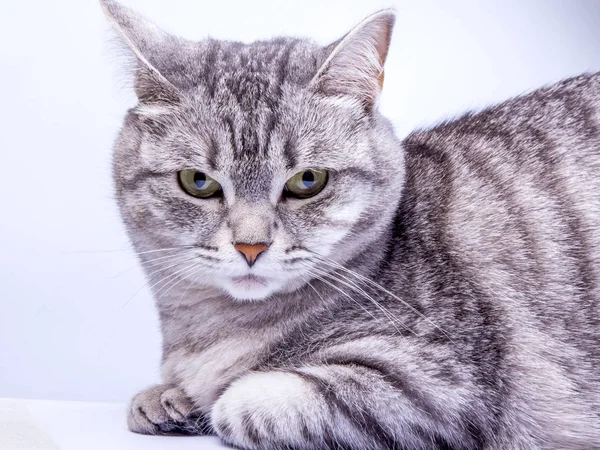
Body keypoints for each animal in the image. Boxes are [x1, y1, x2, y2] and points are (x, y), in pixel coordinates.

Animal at [99, 0, 600, 450]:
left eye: (307, 181)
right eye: (198, 182)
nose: (251, 246)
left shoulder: (438, 383)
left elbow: (236, 402)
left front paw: (202, 402)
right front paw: (167, 401)